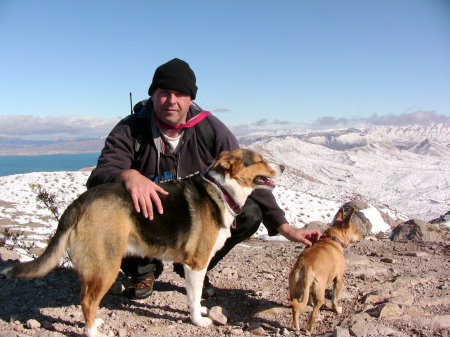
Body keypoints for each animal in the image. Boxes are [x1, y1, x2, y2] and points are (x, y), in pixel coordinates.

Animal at [3, 149, 284, 336]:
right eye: (259, 161)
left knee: (85, 298)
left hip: (94, 267)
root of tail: (79, 202)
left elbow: (195, 296)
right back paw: (93, 332)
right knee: (87, 302)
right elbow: (193, 298)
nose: (282, 166)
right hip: (106, 266)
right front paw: (198, 320)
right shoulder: (196, 265)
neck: (222, 190)